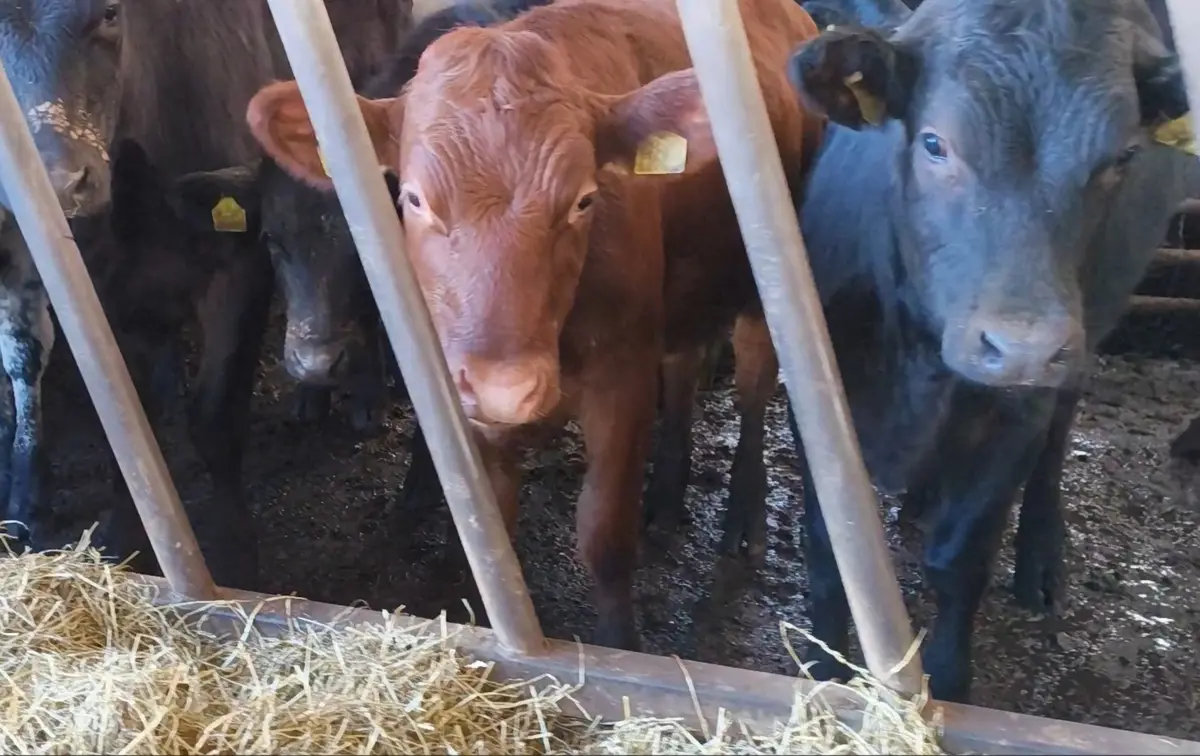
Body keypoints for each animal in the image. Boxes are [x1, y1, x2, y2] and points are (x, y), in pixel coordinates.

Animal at [243, 0, 824, 649]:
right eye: (414, 199)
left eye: (584, 200)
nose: (506, 387)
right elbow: (491, 526)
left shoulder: (621, 376)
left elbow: (604, 535)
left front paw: (620, 645)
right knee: (683, 366)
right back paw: (668, 492)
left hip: (764, 282)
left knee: (754, 384)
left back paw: (744, 515)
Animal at [783, 0, 1196, 702]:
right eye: (934, 143)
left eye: (1121, 156)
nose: (1024, 347)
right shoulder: (818, 389)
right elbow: (829, 548)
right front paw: (824, 675)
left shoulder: (1013, 417)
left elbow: (959, 559)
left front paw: (949, 680)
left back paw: (1039, 558)